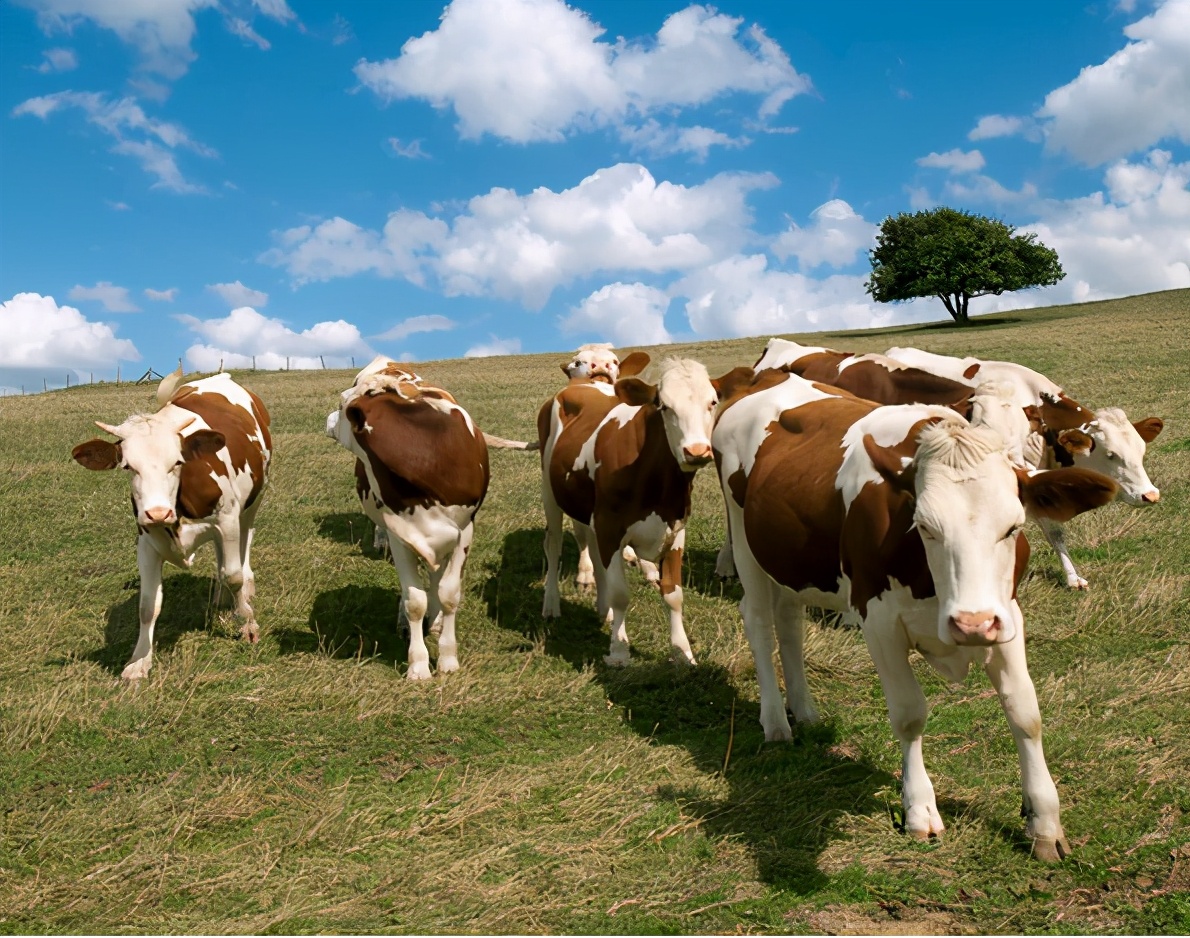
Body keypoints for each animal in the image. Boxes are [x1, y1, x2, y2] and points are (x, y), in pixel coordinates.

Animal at [71, 369, 272, 680]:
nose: (157, 512)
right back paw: (220, 598)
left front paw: (247, 622)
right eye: (128, 466)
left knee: (245, 544)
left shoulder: (227, 519)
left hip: (254, 500)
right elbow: (147, 606)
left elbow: (235, 575)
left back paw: (245, 590)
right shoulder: (146, 540)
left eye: (177, 462)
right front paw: (139, 661)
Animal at [326, 354, 487, 676]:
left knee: (436, 577)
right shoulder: (400, 534)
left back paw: (436, 623)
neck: (426, 457)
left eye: (341, 404)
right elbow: (414, 600)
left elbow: (449, 594)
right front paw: (419, 665)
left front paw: (448, 658)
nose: (327, 420)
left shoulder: (464, 532)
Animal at [542, 357, 733, 666]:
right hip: (550, 492)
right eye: (664, 406)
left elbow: (673, 595)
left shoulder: (675, 529)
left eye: (713, 402)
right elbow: (621, 594)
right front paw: (619, 651)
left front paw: (683, 653)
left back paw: (603, 609)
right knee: (554, 543)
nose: (697, 451)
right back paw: (551, 604)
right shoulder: (610, 527)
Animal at [709, 369, 1118, 857]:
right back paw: (774, 720)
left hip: (792, 560)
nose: (971, 624)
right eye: (924, 526)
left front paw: (1044, 821)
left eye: (1013, 526)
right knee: (758, 622)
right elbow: (909, 714)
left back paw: (804, 710)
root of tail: (766, 377)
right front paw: (920, 808)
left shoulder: (1007, 616)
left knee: (789, 623)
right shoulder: (879, 623)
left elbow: (1025, 713)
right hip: (745, 543)